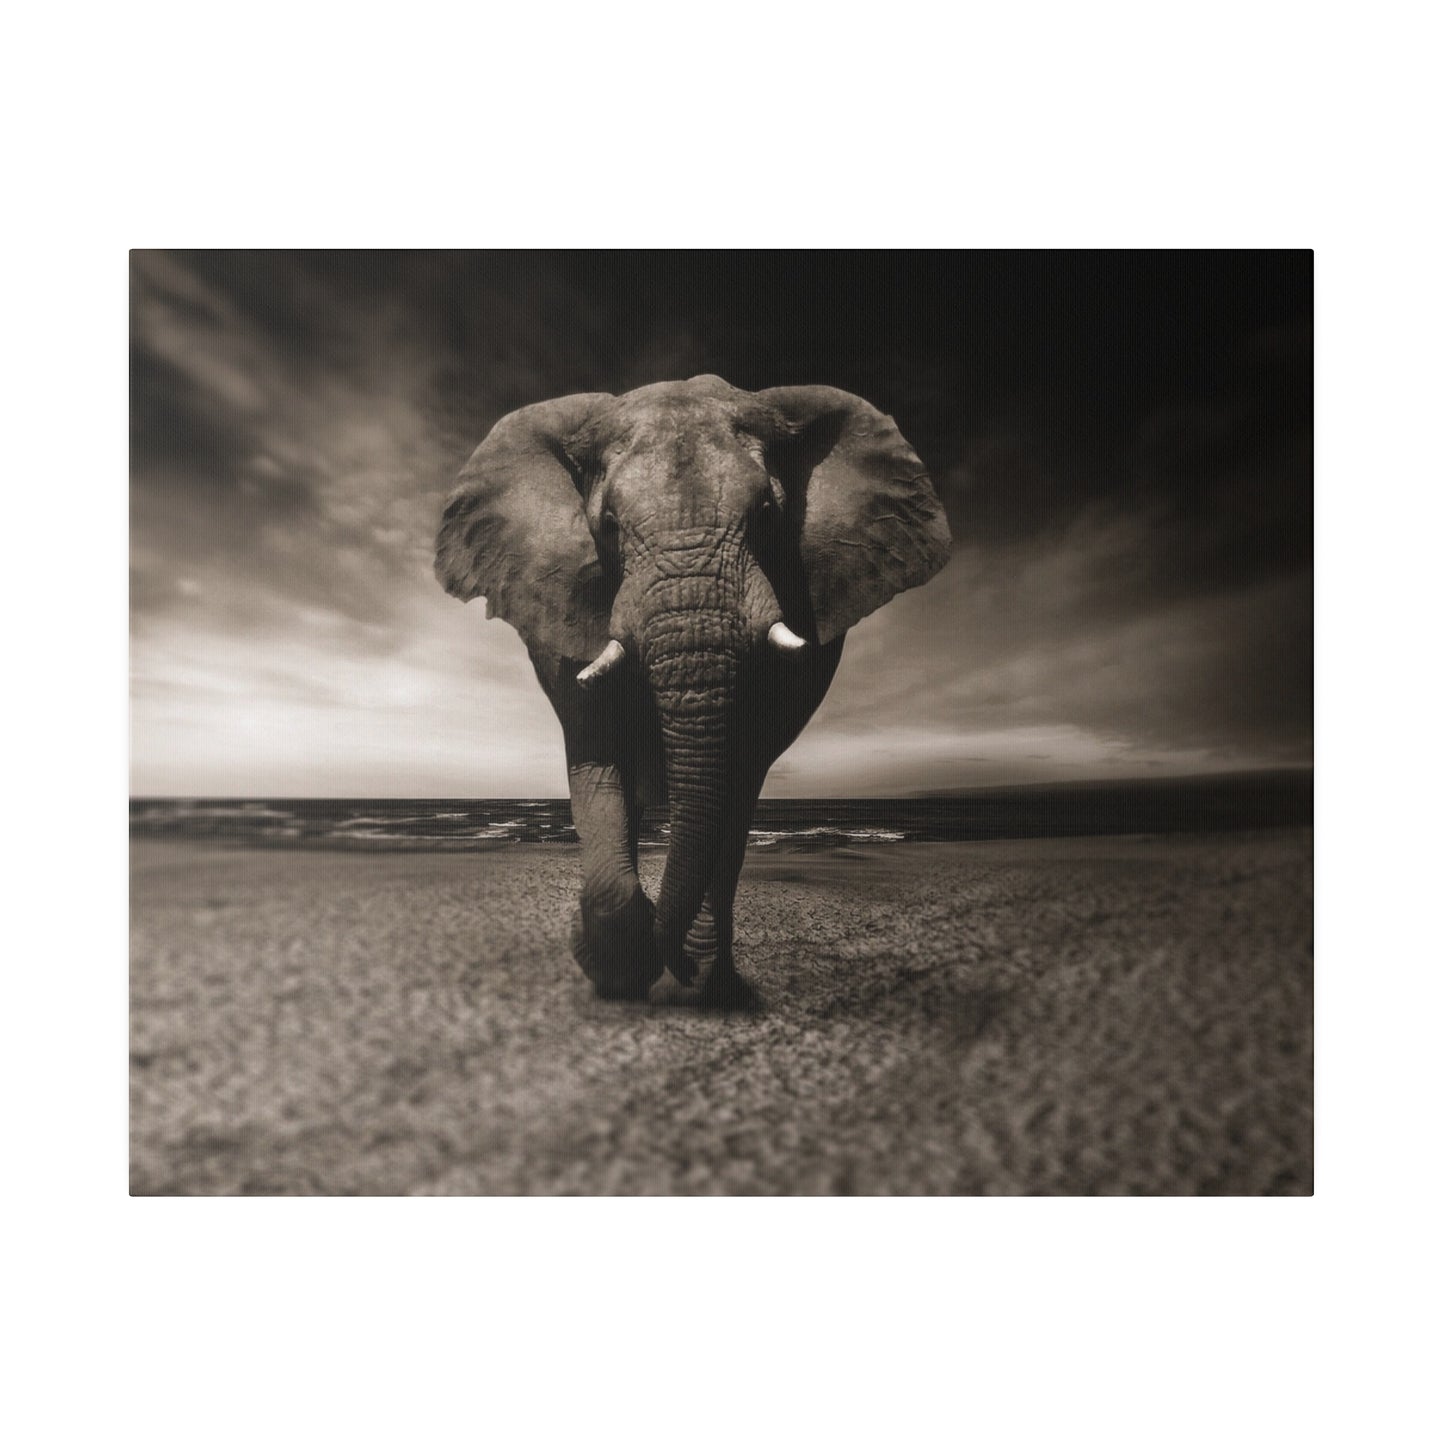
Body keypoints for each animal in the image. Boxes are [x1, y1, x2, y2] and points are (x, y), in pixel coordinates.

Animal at [433, 372, 953, 1005]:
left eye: (766, 514)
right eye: (608, 526)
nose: (670, 960)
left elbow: (735, 781)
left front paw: (687, 975)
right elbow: (597, 755)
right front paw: (617, 961)